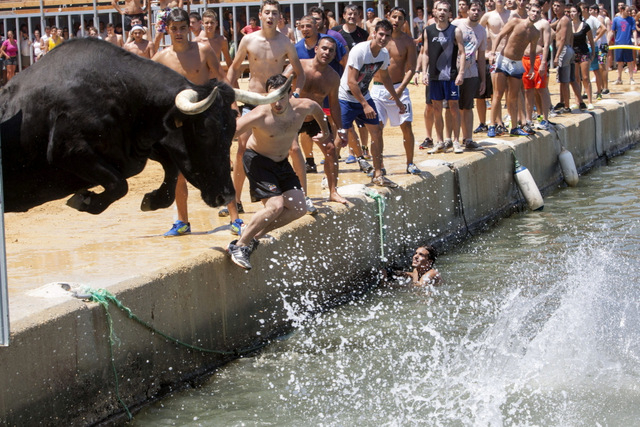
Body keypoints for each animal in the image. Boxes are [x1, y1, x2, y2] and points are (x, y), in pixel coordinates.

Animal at [0, 37, 288, 214]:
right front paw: (85, 199)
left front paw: (153, 199)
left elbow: (171, 172)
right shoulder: (68, 150)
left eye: (231, 131)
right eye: (204, 131)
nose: (226, 196)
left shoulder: (142, 147)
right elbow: (119, 184)